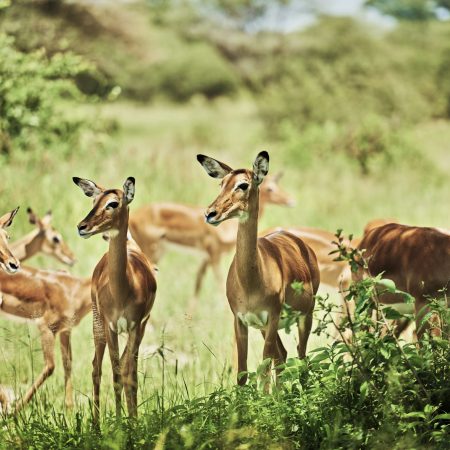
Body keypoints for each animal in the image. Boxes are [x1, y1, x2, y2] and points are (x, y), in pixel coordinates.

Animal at [73, 177, 156, 422]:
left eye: (113, 203)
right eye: (94, 200)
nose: (82, 226)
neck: (122, 290)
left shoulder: (135, 325)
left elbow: (129, 374)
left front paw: (133, 422)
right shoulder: (110, 326)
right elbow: (116, 374)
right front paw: (119, 424)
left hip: (137, 328)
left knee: (126, 368)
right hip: (98, 326)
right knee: (96, 368)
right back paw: (96, 425)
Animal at [128, 172, 294, 298]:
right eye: (270, 188)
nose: (290, 200)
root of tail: (134, 216)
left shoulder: (206, 258)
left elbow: (198, 284)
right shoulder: (214, 256)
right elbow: (219, 284)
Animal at [197, 152, 320, 386]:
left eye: (243, 185)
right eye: (221, 183)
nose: (210, 213)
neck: (251, 282)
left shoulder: (272, 317)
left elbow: (263, 370)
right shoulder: (241, 320)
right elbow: (243, 373)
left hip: (304, 317)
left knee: (301, 357)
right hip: (265, 328)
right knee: (282, 356)